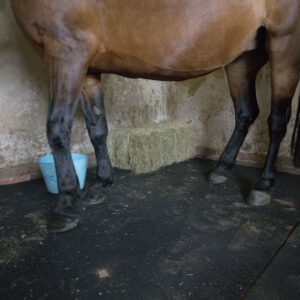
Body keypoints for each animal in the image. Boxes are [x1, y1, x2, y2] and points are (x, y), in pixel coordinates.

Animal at [9, 0, 300, 233]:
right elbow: (97, 127)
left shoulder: (67, 54)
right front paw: (101, 184)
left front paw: (66, 206)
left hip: (284, 49)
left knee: (277, 122)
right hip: (242, 59)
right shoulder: (87, 69)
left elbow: (57, 129)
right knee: (245, 113)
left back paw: (263, 186)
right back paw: (221, 169)